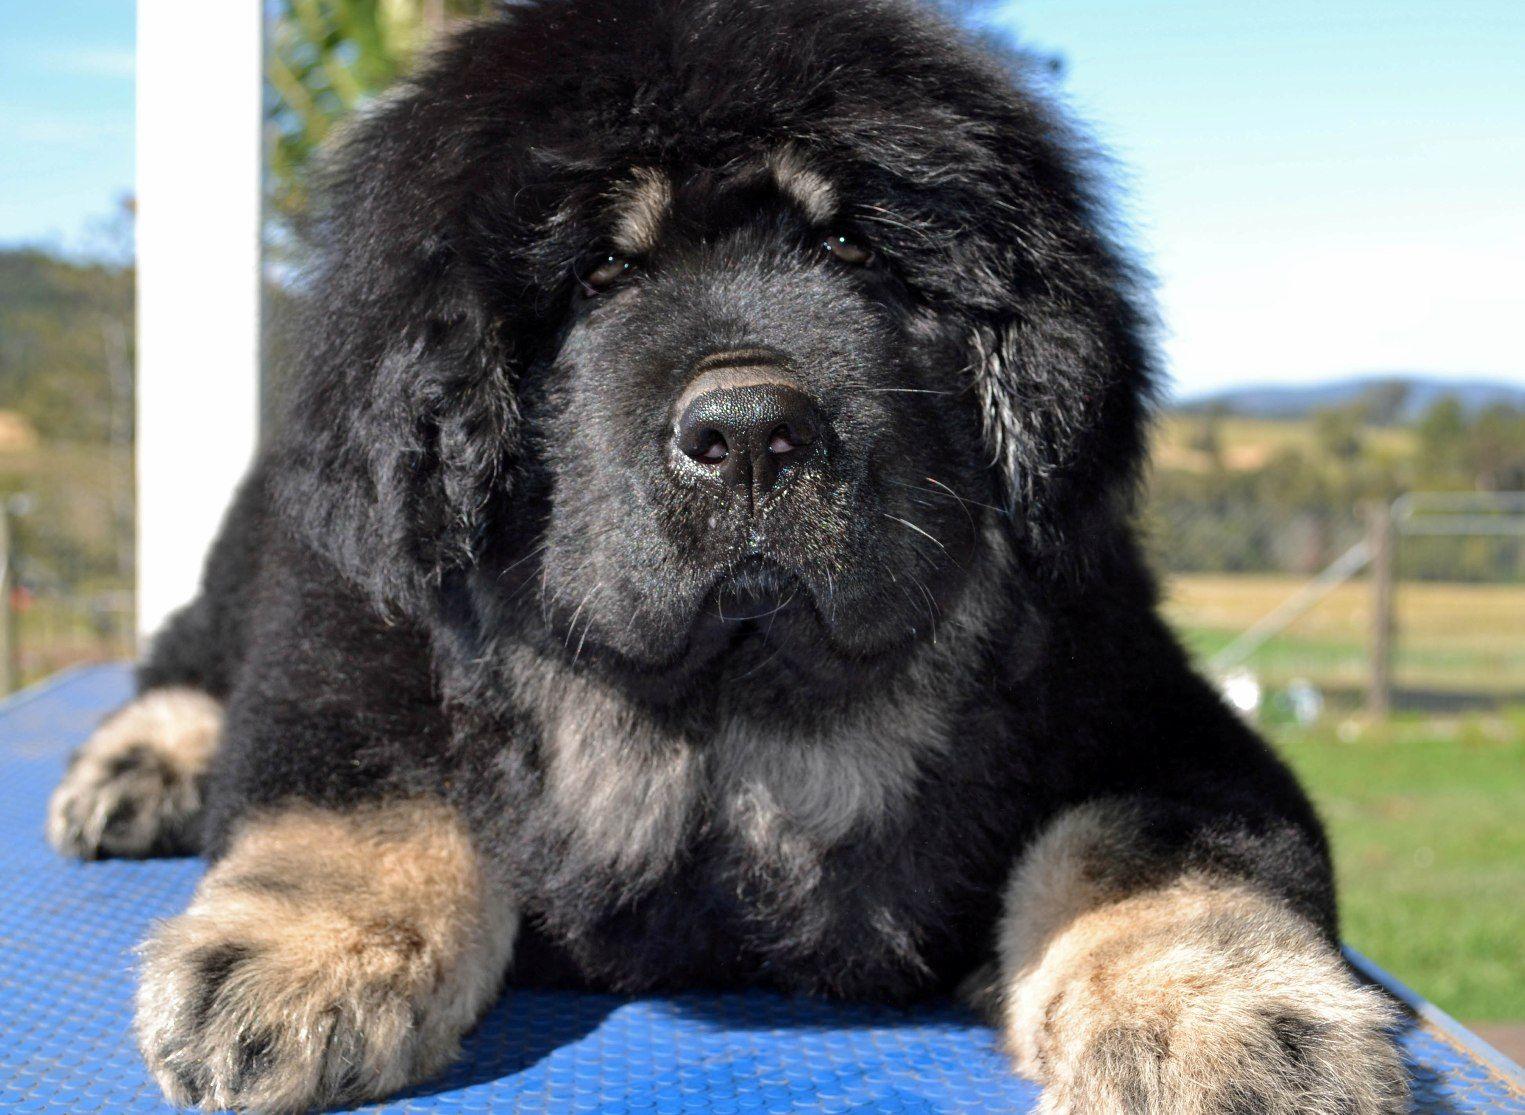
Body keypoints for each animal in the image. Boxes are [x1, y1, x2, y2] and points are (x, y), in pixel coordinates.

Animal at [47, 4, 1403, 1110]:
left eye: (854, 251)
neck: (729, 710)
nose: (750, 430)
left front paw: (1231, 1023)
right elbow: (363, 793)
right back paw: (139, 767)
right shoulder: (351, 639)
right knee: (182, 656)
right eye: (600, 271)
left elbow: (1156, 847)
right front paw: (286, 961)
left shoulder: (1142, 704)